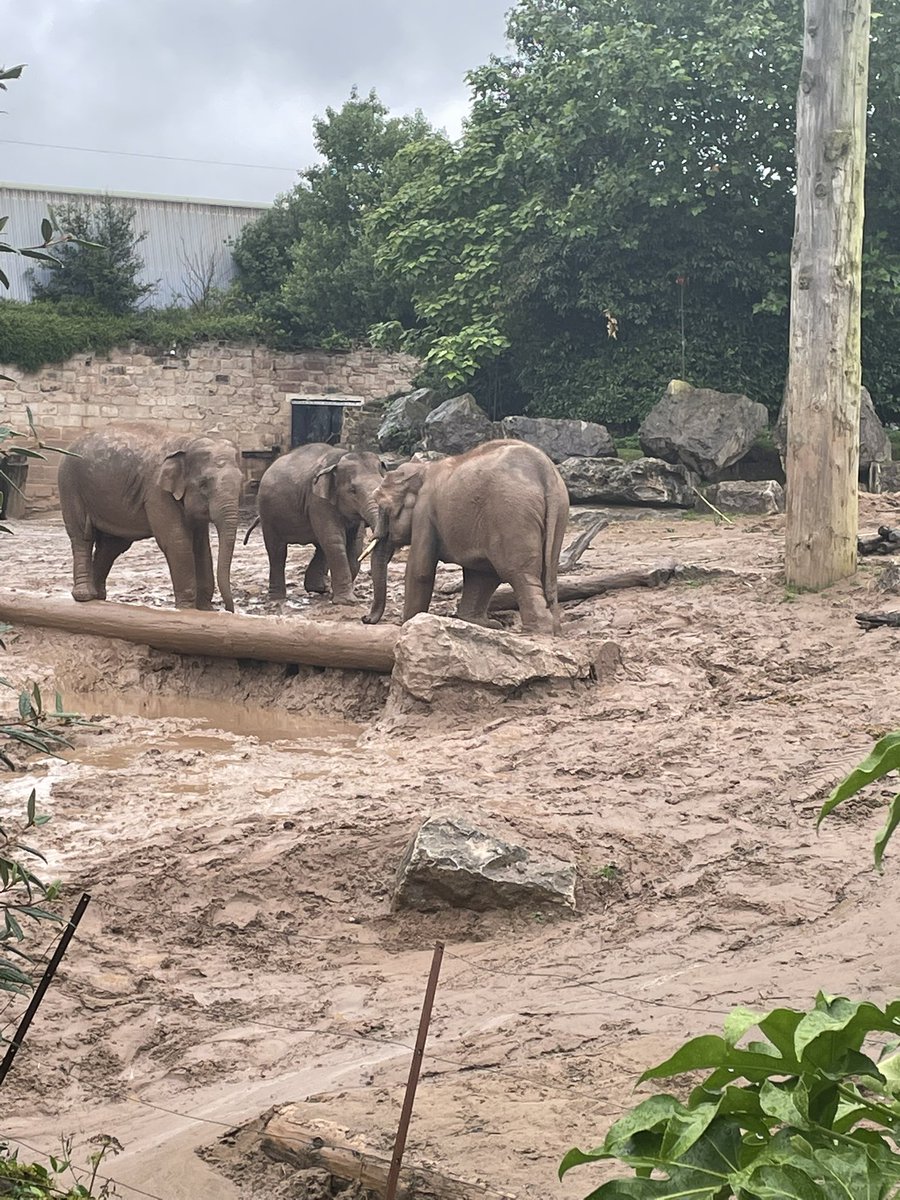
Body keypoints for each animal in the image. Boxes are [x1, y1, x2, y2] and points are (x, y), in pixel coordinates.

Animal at [58, 423, 242, 611]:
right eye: (204, 484)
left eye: (241, 481)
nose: (229, 609)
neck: (188, 441)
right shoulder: (156, 492)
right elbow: (177, 541)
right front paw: (186, 609)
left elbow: (201, 546)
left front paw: (206, 609)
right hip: (69, 485)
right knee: (82, 536)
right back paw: (84, 596)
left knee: (112, 546)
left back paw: (99, 596)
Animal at [244, 443, 385, 604]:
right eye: (352, 490)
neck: (339, 459)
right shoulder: (317, 501)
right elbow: (335, 540)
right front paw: (348, 602)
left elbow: (353, 544)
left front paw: (338, 595)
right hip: (267, 513)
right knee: (277, 551)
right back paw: (277, 598)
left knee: (321, 546)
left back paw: (319, 589)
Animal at [363, 439, 570, 635]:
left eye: (384, 507)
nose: (365, 619)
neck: (424, 469)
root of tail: (545, 471)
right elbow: (481, 574)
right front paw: (481, 623)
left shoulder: (424, 512)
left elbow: (420, 571)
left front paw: (408, 622)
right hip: (559, 512)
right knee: (545, 573)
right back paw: (554, 628)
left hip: (512, 514)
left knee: (517, 573)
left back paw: (535, 630)